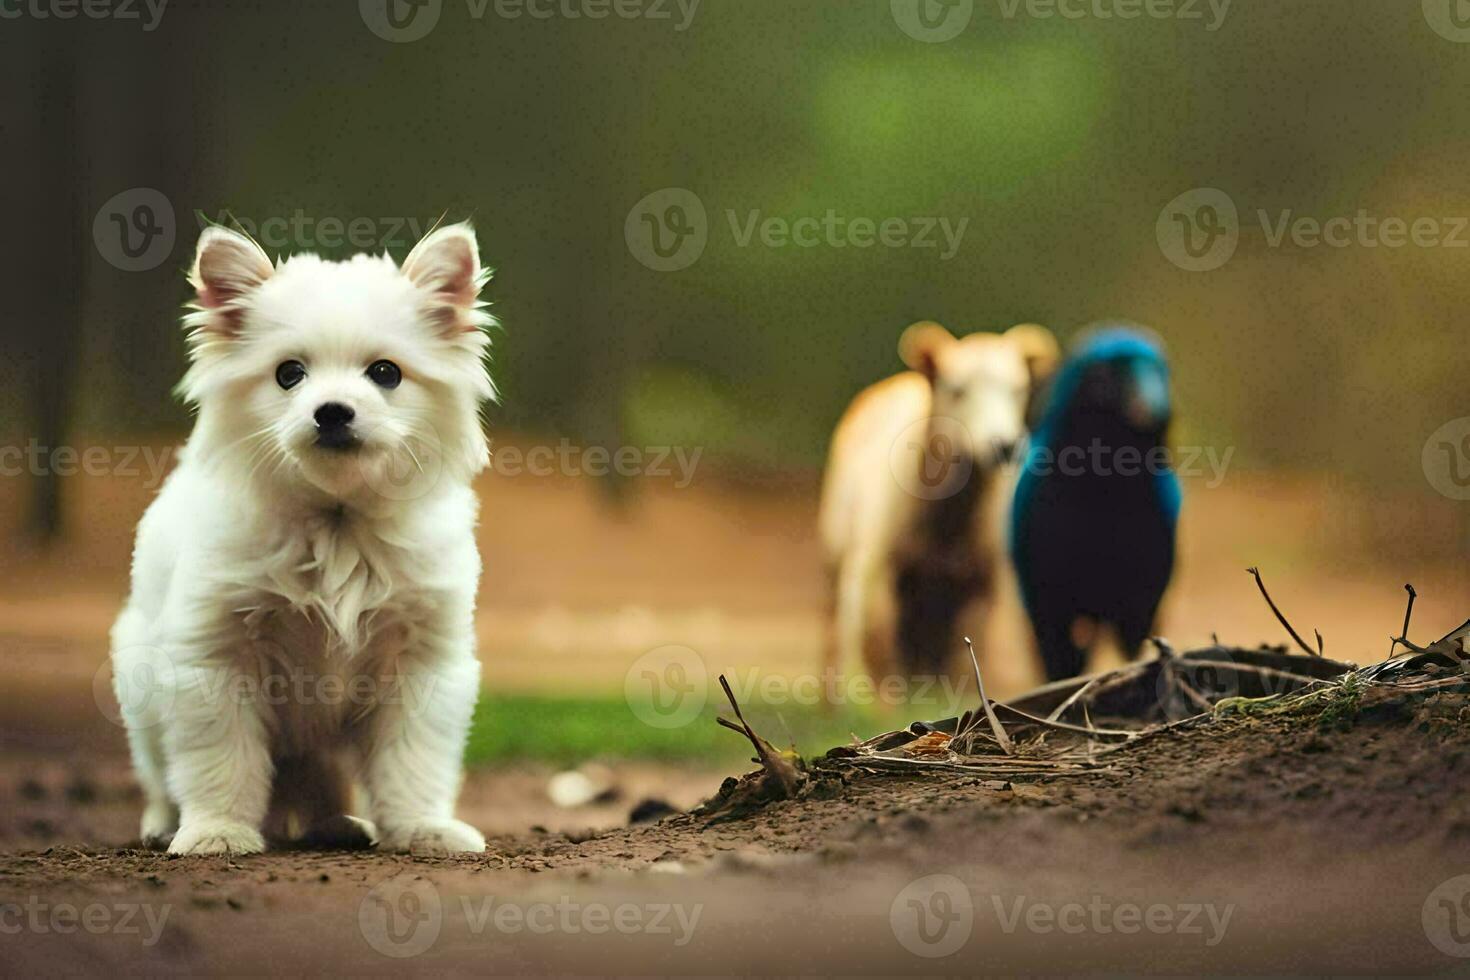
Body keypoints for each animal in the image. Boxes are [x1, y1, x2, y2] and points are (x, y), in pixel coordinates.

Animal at [108, 221, 496, 858]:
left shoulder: (422, 666)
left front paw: (423, 829)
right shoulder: (215, 661)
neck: (336, 522)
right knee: (162, 780)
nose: (332, 412)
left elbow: (413, 765)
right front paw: (217, 833)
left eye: (385, 373)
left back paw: (335, 824)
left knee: (322, 785)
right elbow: (222, 764)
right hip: (141, 693)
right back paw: (165, 824)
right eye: (289, 373)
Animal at [817, 326, 1058, 702]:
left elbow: (977, 660)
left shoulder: (990, 580)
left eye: (1019, 390)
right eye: (957, 390)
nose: (1003, 445)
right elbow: (881, 651)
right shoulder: (879, 568)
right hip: (837, 558)